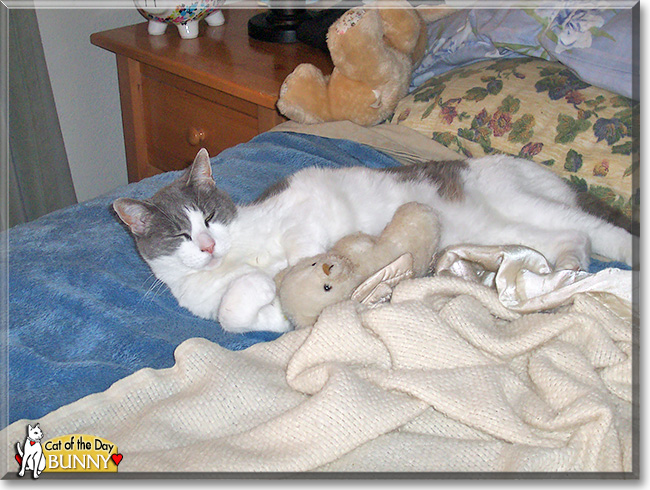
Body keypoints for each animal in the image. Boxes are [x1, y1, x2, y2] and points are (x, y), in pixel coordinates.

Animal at [112, 148, 632, 334]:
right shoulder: (231, 308)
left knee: (601, 230)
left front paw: (306, 267)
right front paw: (263, 289)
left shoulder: (307, 194)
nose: (207, 246)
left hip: (523, 202)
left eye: (211, 216)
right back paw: (564, 272)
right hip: (512, 230)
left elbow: (302, 244)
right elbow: (234, 313)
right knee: (572, 237)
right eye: (180, 235)